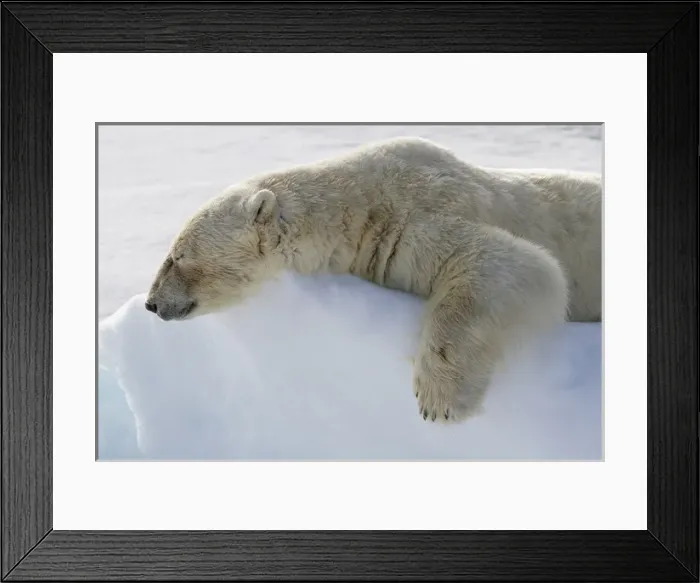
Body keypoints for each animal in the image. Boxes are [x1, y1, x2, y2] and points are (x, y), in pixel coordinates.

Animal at [146, 137, 601, 423]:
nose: (151, 303)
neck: (361, 205)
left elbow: (518, 262)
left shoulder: (420, 216)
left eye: (177, 257)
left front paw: (439, 399)